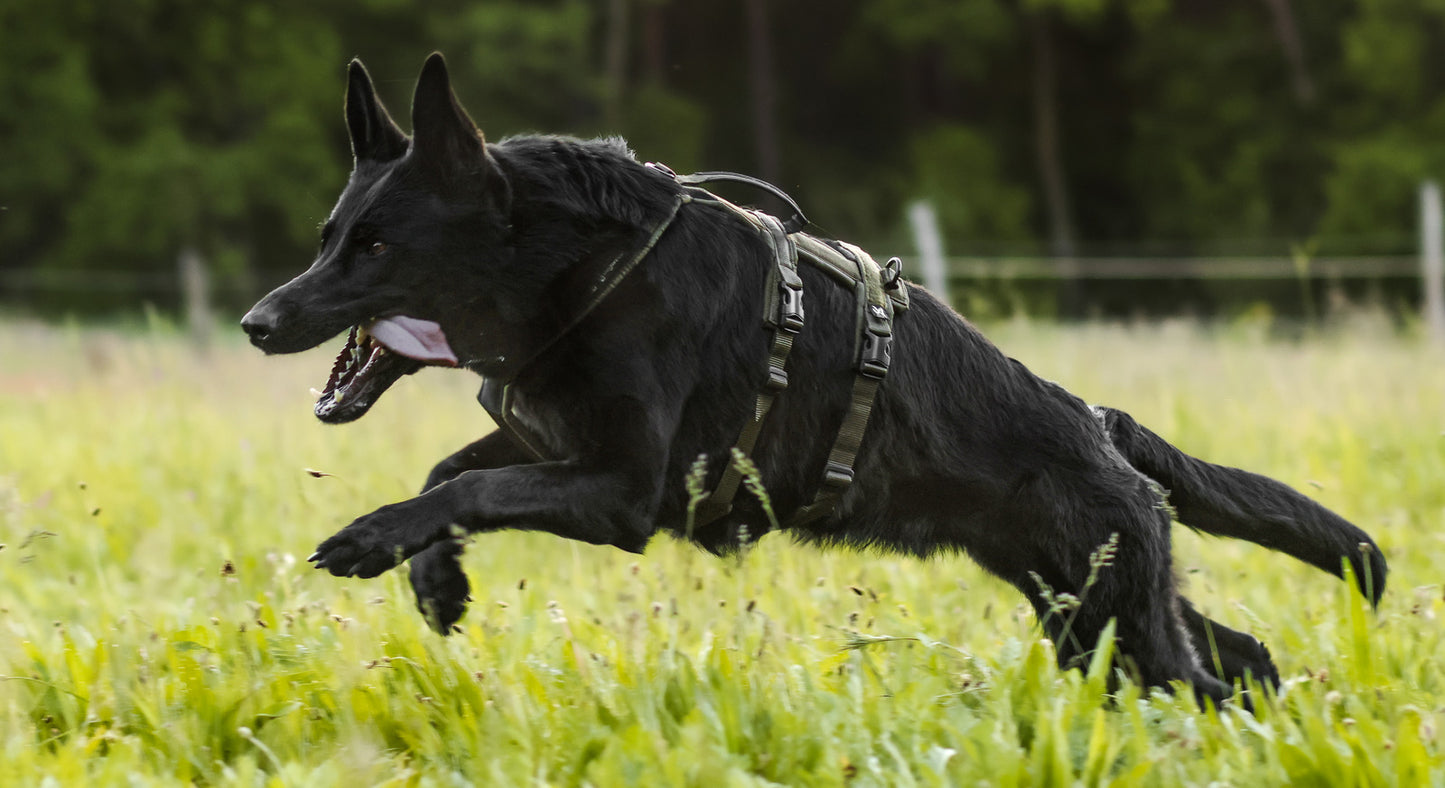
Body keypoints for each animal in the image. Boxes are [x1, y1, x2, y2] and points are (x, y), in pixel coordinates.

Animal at [242, 56, 1381, 705]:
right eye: (332, 235)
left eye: (376, 246)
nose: (258, 324)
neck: (584, 262)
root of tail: (1102, 422)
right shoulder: (551, 441)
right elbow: (449, 473)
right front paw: (435, 576)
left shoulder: (621, 488)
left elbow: (466, 482)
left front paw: (371, 540)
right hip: (1082, 608)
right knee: (1240, 657)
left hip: (1110, 619)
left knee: (1205, 682)